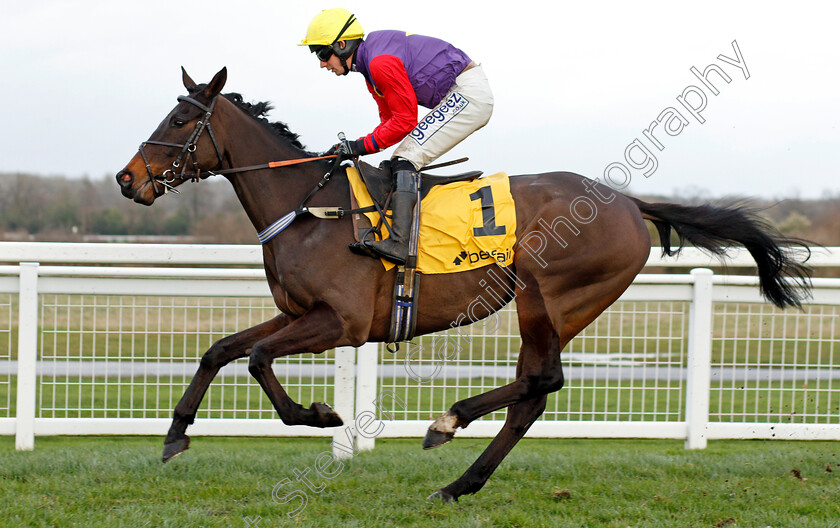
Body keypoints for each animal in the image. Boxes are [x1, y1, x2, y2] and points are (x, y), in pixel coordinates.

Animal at [115, 68, 812, 502]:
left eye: (178, 119)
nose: (127, 179)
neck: (310, 208)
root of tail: (626, 200)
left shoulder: (340, 322)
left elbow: (257, 357)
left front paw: (320, 414)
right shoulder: (299, 313)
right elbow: (221, 349)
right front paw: (175, 435)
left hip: (549, 297)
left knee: (543, 381)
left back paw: (448, 422)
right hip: (554, 310)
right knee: (534, 395)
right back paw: (460, 482)